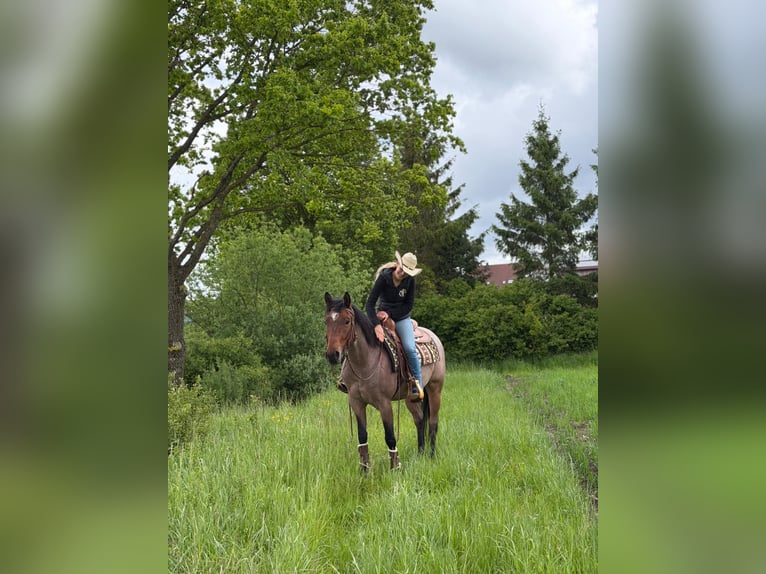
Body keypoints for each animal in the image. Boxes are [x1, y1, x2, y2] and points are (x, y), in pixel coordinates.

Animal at [324, 291, 446, 471]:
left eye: (346, 321)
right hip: (411, 397)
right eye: (326, 321)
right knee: (419, 420)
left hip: (435, 389)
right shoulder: (356, 402)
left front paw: (395, 468)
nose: (333, 355)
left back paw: (431, 456)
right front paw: (365, 470)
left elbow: (390, 437)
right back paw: (420, 454)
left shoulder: (384, 404)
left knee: (433, 422)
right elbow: (362, 436)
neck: (365, 363)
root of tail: (434, 336)